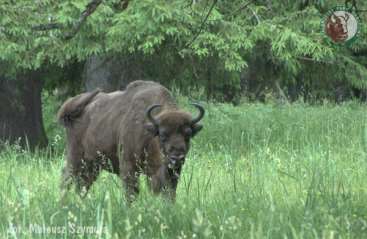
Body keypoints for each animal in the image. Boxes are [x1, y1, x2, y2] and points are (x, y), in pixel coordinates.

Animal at [59, 80, 206, 202]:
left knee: (82, 184)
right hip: (75, 158)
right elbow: (131, 193)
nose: (177, 157)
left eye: (188, 134)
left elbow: (169, 192)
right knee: (66, 178)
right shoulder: (128, 166)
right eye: (163, 135)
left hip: (93, 165)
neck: (149, 130)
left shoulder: (170, 173)